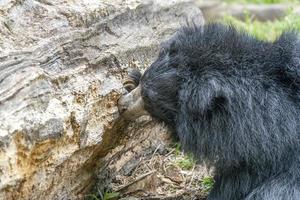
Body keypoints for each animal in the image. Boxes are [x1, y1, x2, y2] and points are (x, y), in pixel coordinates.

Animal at [117, 23, 300, 200]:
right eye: (142, 86)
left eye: (148, 98)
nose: (121, 106)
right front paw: (131, 79)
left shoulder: (267, 157)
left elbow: (236, 183)